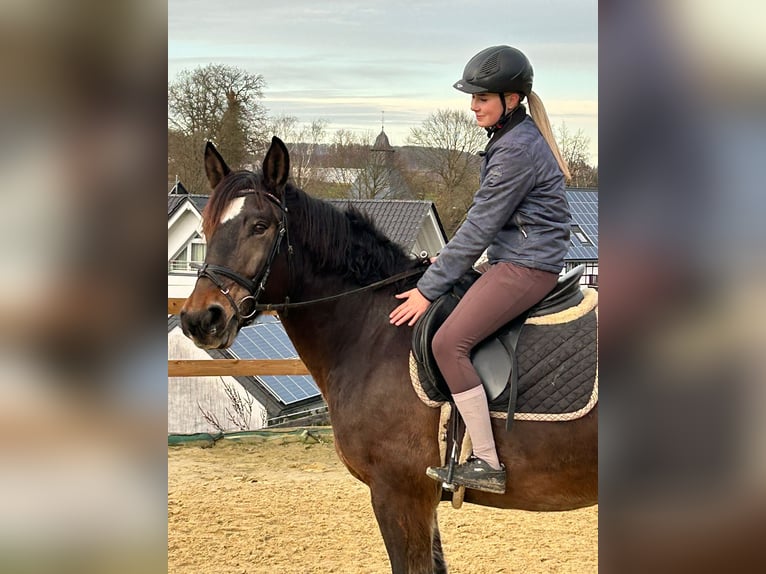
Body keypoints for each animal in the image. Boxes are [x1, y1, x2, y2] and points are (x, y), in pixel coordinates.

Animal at [182, 137, 600, 572]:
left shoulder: (399, 494)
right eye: (206, 228)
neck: (374, 331)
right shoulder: (420, 502)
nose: (201, 318)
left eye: (260, 227)